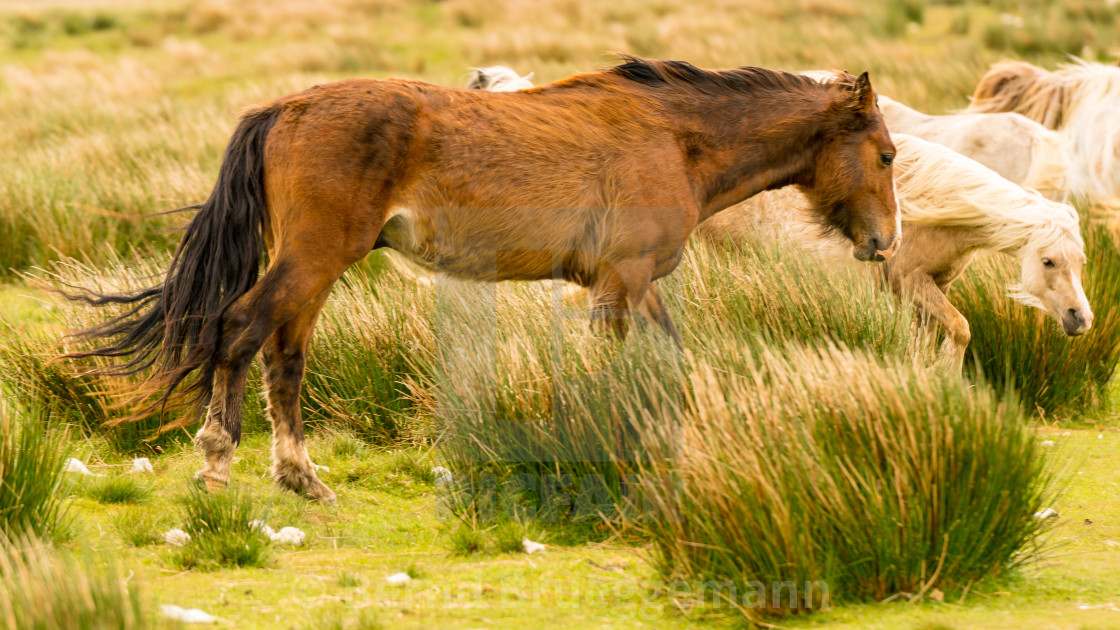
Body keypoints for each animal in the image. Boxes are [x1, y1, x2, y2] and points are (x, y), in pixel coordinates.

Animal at [61, 58, 900, 499]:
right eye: (888, 155)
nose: (885, 243)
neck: (676, 138)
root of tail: (287, 106)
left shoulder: (634, 283)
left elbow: (667, 359)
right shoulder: (621, 281)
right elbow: (621, 367)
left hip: (317, 267)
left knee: (284, 352)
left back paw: (300, 476)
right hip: (315, 258)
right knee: (240, 330)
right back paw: (217, 463)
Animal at [698, 132, 1093, 367]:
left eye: (1081, 262)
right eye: (1048, 261)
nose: (1081, 318)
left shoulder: (935, 286)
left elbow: (926, 339)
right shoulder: (909, 282)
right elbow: (961, 329)